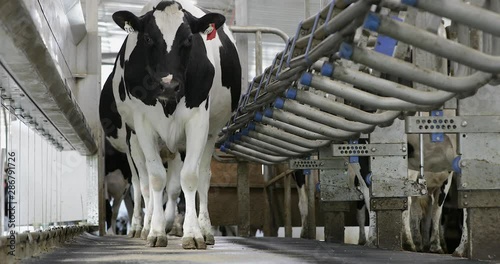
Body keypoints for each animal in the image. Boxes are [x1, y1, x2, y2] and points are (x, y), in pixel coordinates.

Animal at [100, 0, 241, 250]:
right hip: (132, 143)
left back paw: (201, 228)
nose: (167, 85)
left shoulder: (197, 121)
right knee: (141, 185)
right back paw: (142, 227)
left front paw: (192, 233)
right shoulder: (142, 125)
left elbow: (189, 178)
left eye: (189, 39)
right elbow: (155, 179)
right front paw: (155, 231)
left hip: (207, 135)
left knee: (198, 178)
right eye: (147, 38)